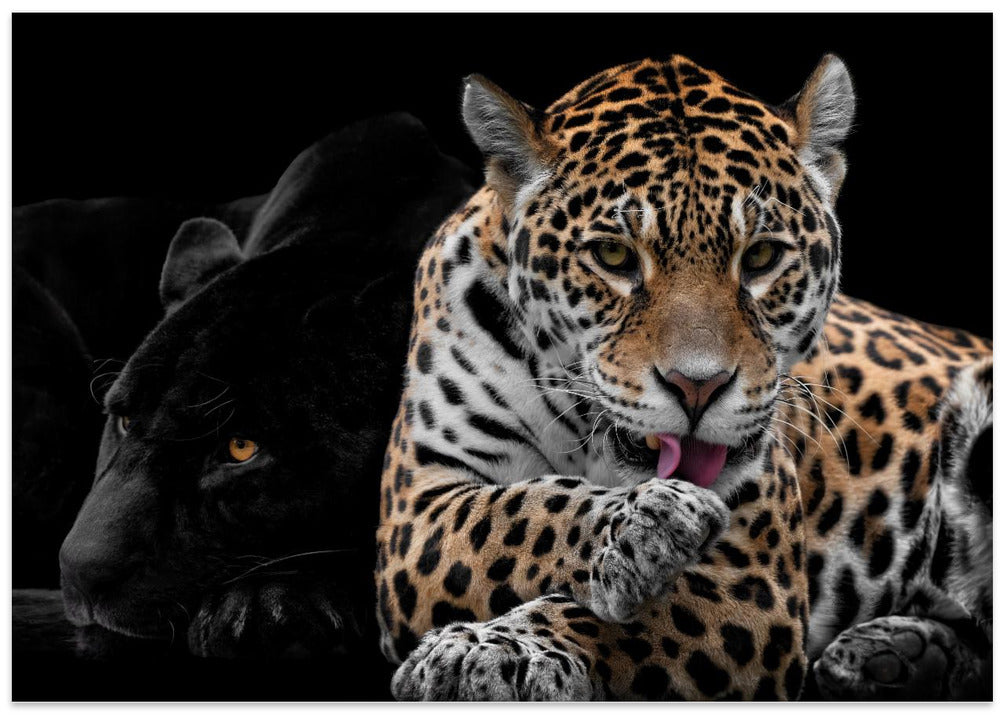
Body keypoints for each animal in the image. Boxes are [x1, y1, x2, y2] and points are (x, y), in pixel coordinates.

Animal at [375, 53, 992, 700]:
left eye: (761, 257)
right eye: (614, 256)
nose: (699, 386)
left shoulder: (754, 578)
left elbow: (617, 619)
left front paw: (496, 647)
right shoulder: (416, 504)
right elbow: (515, 513)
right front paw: (644, 526)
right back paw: (894, 657)